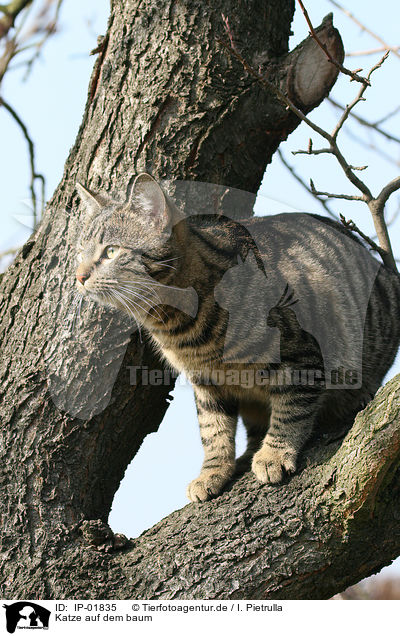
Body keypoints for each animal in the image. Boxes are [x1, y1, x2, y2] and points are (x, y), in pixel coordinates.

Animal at [73, 173, 400, 502]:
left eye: (111, 252)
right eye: (79, 253)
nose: (79, 276)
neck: (179, 325)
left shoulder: (302, 355)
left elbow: (292, 410)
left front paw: (275, 454)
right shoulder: (207, 383)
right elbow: (213, 430)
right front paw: (213, 470)